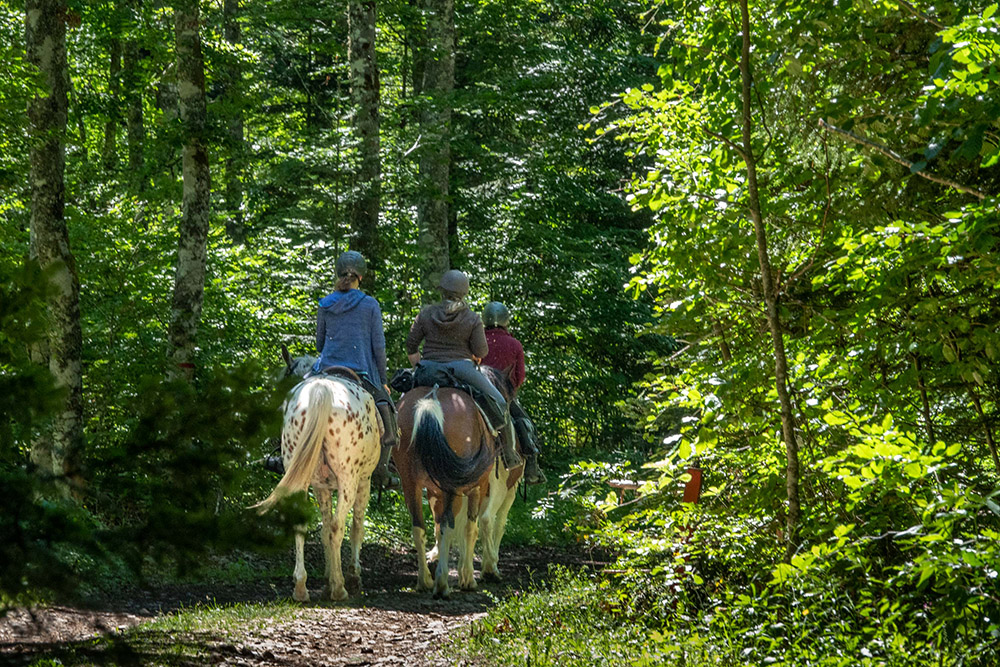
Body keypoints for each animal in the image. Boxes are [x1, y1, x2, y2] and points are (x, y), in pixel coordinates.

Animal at [254, 354, 382, 604]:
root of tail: (321, 390)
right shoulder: (364, 481)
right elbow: (355, 527)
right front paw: (350, 577)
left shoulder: (321, 487)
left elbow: (323, 531)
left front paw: (327, 578)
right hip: (349, 480)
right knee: (338, 526)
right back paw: (340, 589)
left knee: (302, 524)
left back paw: (301, 588)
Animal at [394, 376, 496, 600]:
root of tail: (431, 400)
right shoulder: (477, 487)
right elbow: (470, 529)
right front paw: (468, 579)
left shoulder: (434, 491)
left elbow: (436, 527)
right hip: (453, 486)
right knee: (449, 525)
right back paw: (441, 585)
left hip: (410, 483)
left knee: (418, 527)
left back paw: (424, 581)